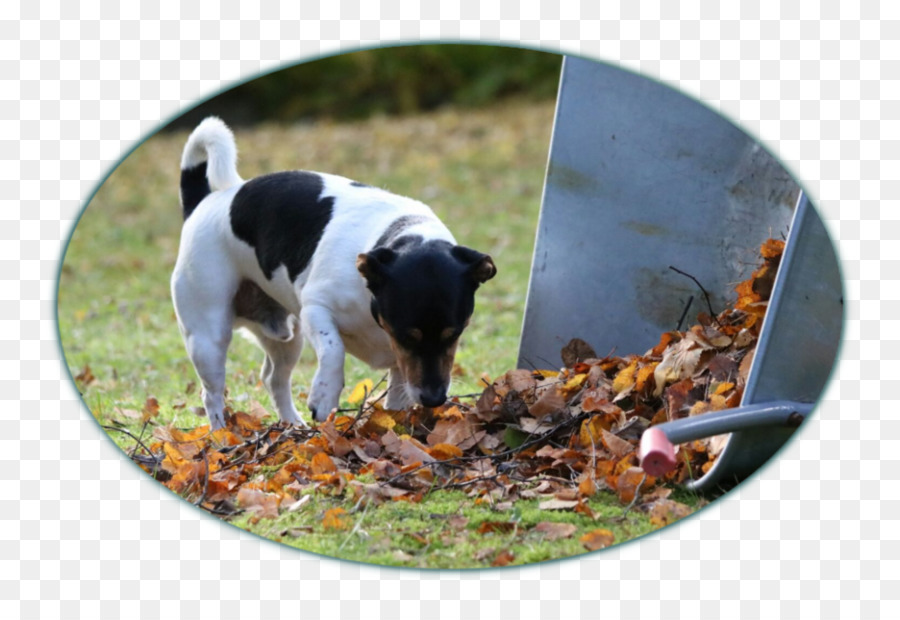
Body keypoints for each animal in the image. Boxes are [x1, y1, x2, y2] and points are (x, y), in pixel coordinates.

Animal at [174, 116, 500, 428]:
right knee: (212, 394)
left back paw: (292, 424)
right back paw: (221, 434)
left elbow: (397, 399)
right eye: (407, 336)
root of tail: (203, 202)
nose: (434, 400)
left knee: (273, 378)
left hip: (287, 339)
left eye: (455, 334)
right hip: (209, 336)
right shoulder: (317, 309)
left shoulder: (402, 364)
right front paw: (325, 395)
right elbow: (334, 350)